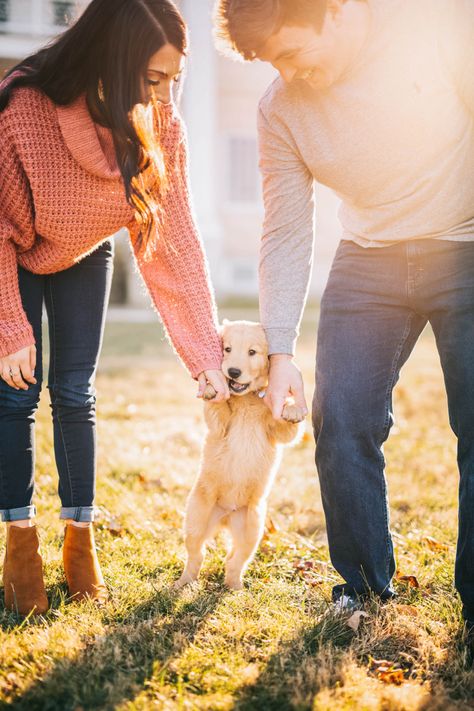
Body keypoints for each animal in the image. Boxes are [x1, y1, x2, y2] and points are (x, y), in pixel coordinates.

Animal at [176, 320, 306, 592]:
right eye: (227, 349)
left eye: (252, 352)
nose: (232, 372)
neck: (247, 399)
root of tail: (226, 514)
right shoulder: (220, 425)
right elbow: (217, 406)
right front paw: (212, 387)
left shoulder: (276, 431)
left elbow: (289, 426)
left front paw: (292, 408)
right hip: (196, 519)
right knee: (196, 555)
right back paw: (184, 583)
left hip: (252, 528)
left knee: (235, 559)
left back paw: (234, 586)